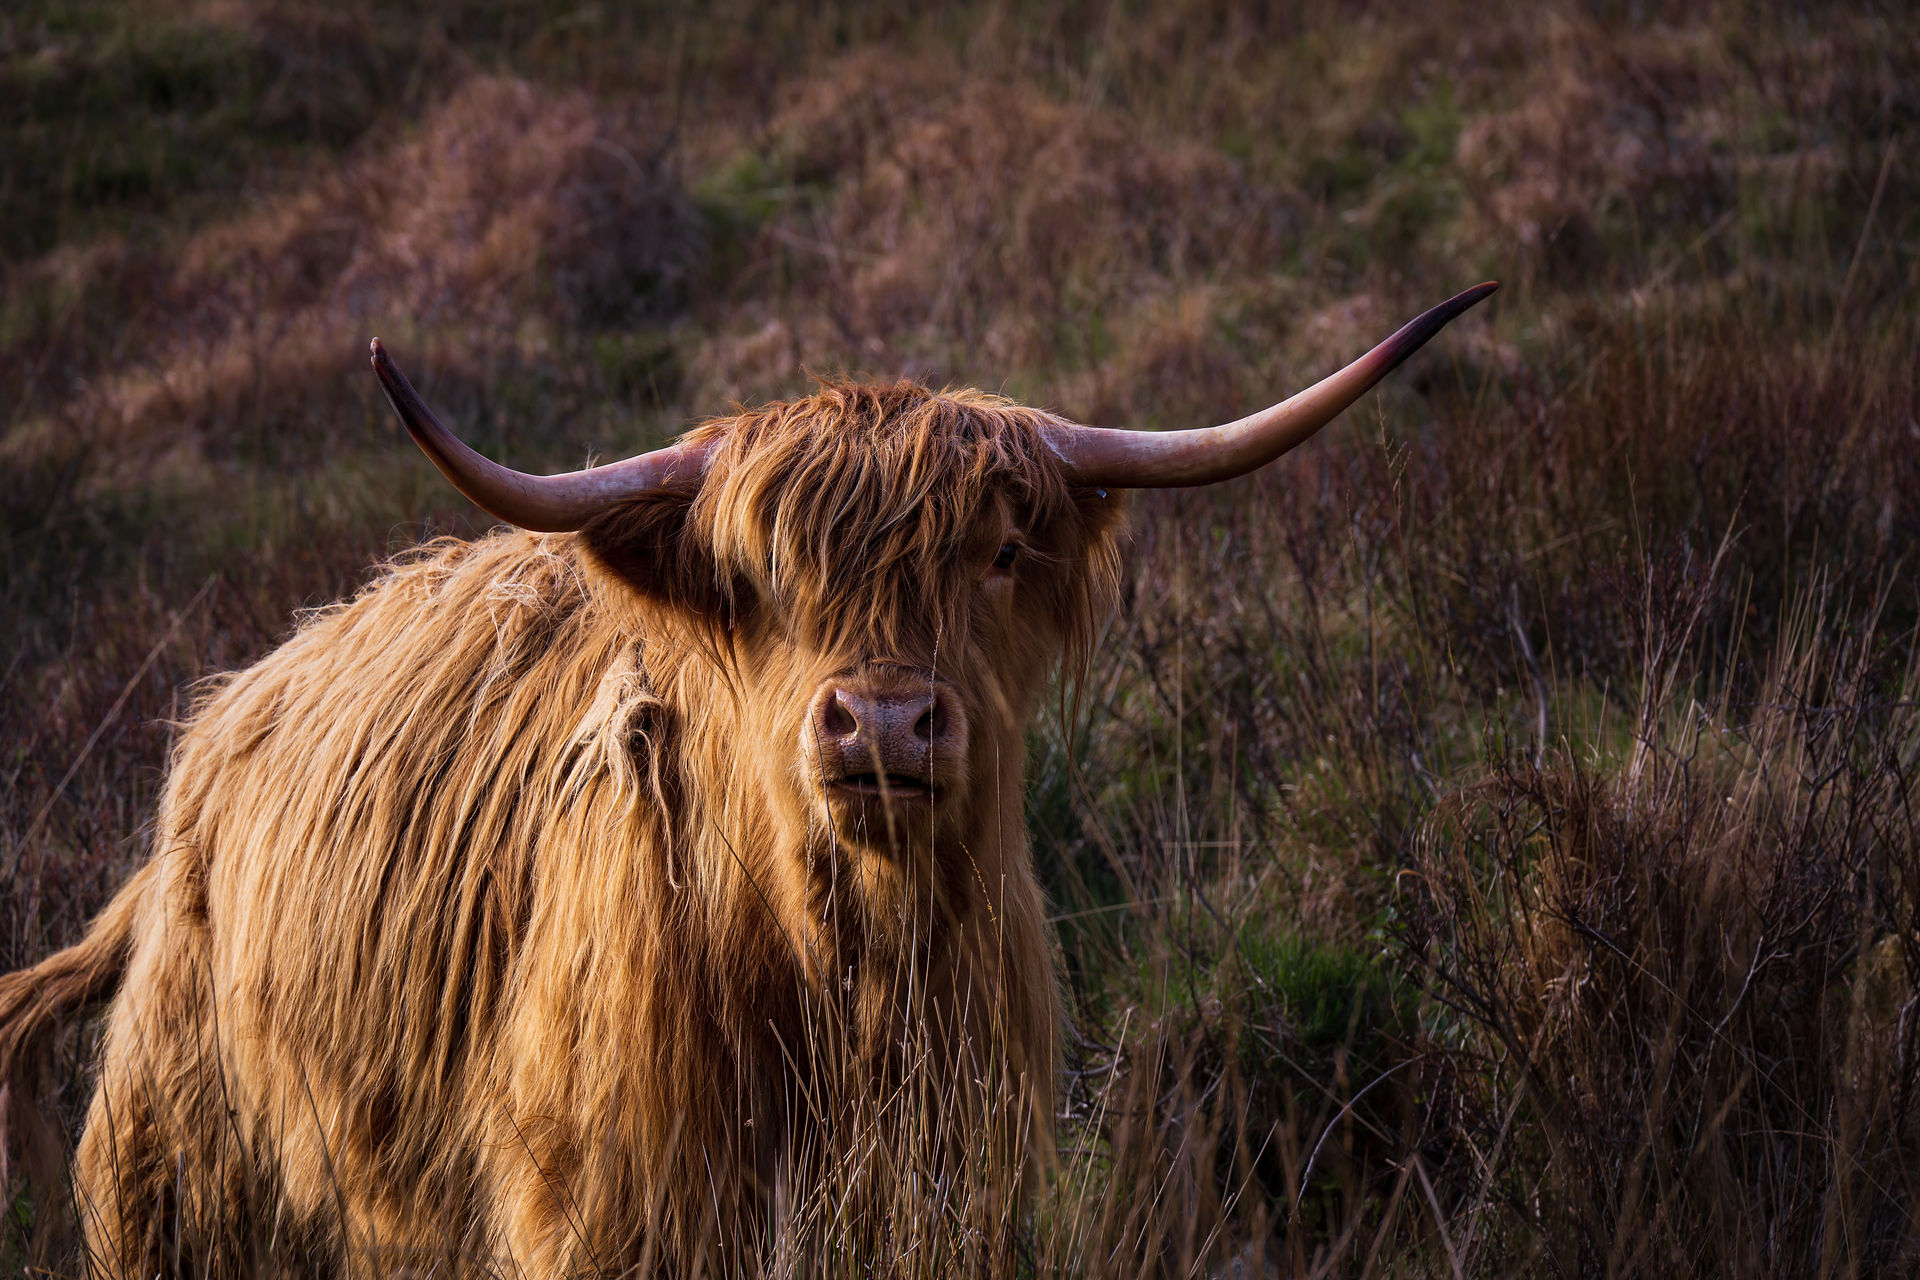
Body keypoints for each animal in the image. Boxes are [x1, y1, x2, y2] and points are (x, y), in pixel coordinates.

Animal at [0, 283, 1494, 1276]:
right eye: (764, 572)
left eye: (1001, 553)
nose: (884, 722)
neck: (850, 975)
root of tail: (209, 744)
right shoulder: (603, 1209)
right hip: (177, 1181)